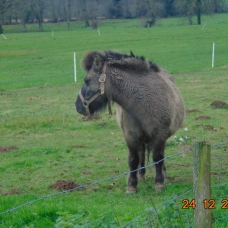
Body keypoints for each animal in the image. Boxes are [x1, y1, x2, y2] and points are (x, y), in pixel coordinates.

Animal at [75, 50, 185, 193]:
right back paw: (141, 175)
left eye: (86, 80)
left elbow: (157, 157)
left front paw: (159, 182)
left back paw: (164, 175)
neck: (143, 105)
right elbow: (133, 159)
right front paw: (132, 185)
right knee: (142, 154)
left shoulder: (159, 135)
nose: (77, 106)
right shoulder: (130, 136)